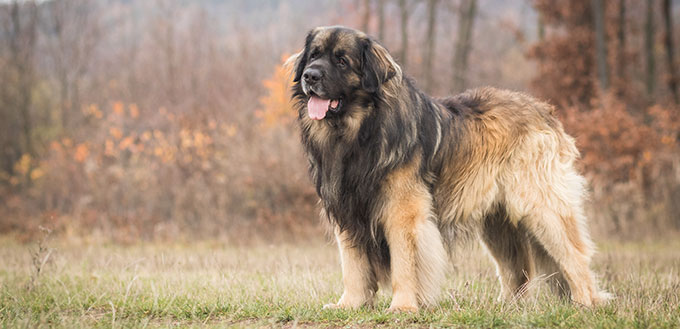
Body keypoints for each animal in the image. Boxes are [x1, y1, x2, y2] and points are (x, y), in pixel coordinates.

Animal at [290, 25, 608, 310]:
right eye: (313, 56)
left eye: (342, 60)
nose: (310, 75)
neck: (359, 131)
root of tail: (544, 110)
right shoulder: (347, 212)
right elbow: (353, 267)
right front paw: (350, 305)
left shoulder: (403, 213)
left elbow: (404, 262)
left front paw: (402, 306)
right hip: (498, 223)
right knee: (517, 268)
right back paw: (508, 307)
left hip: (541, 207)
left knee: (573, 255)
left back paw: (585, 302)